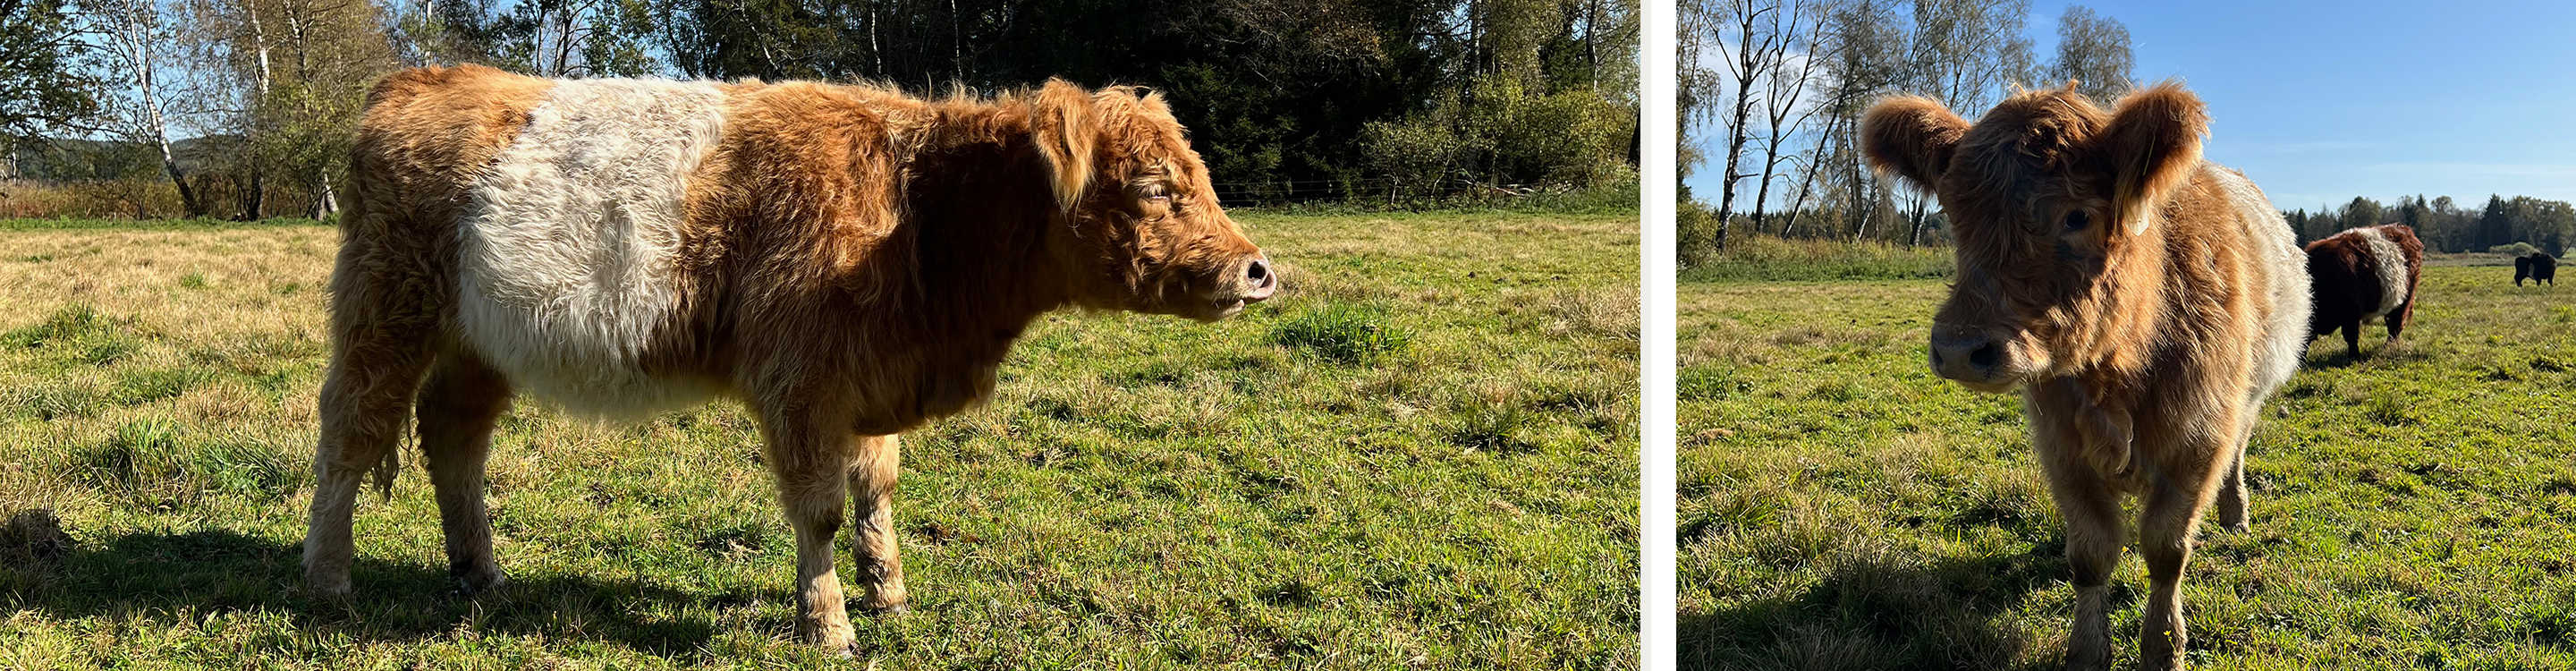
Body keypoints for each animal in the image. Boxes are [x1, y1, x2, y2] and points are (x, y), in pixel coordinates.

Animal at [306, 65, 1272, 652]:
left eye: (1199, 175)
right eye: (1153, 186)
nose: (1258, 270)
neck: (919, 211)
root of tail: (420, 79)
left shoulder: (866, 383)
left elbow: (875, 488)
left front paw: (889, 592)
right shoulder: (800, 383)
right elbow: (820, 510)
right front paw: (828, 623)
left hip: (481, 340)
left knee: (454, 438)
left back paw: (480, 570)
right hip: (384, 314)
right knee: (350, 439)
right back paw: (329, 576)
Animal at [1865, 83, 2308, 671]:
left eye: (2077, 216)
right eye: (1956, 215)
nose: (1960, 349)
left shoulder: (2197, 444)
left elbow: (2166, 551)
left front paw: (2163, 646)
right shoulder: (2063, 450)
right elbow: (2092, 555)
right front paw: (2088, 650)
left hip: (2250, 398)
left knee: (2239, 451)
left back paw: (2235, 514)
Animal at [2308, 224, 2421, 358]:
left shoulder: (2351, 311)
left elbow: (2350, 336)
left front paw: (2354, 357)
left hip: (2406, 298)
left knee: (2396, 325)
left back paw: (2388, 348)